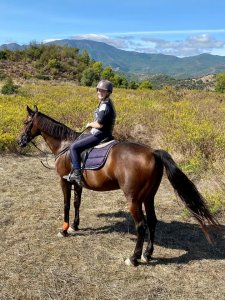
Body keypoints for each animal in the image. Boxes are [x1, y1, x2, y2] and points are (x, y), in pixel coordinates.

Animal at [18, 105, 220, 268]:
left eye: (26, 122)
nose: (19, 141)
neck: (65, 146)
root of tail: (153, 152)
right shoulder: (77, 183)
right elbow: (77, 203)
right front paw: (75, 226)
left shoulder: (64, 181)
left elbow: (67, 205)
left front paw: (64, 230)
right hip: (149, 197)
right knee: (152, 221)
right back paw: (147, 254)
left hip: (134, 199)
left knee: (141, 225)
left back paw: (134, 258)